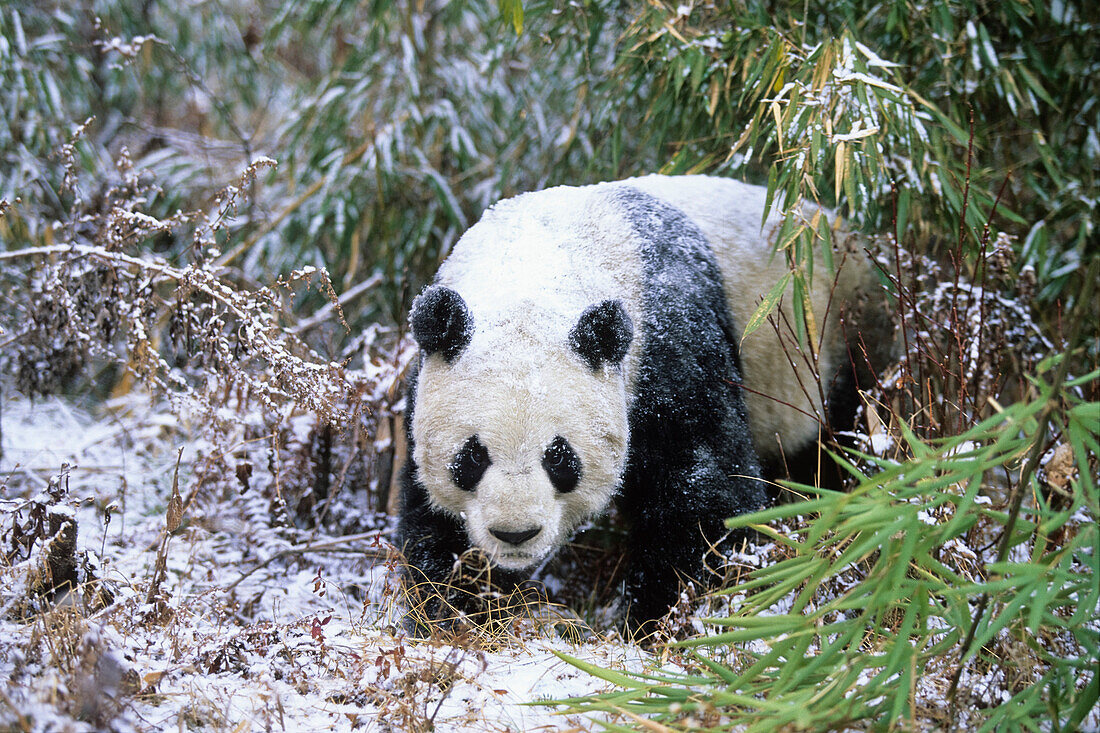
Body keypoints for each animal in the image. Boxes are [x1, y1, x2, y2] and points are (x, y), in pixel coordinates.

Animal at [396, 176, 884, 629]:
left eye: (559, 457)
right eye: (471, 457)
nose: (515, 533)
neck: (535, 267)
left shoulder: (670, 347)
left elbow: (705, 490)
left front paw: (656, 617)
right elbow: (432, 518)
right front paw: (454, 608)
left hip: (839, 339)